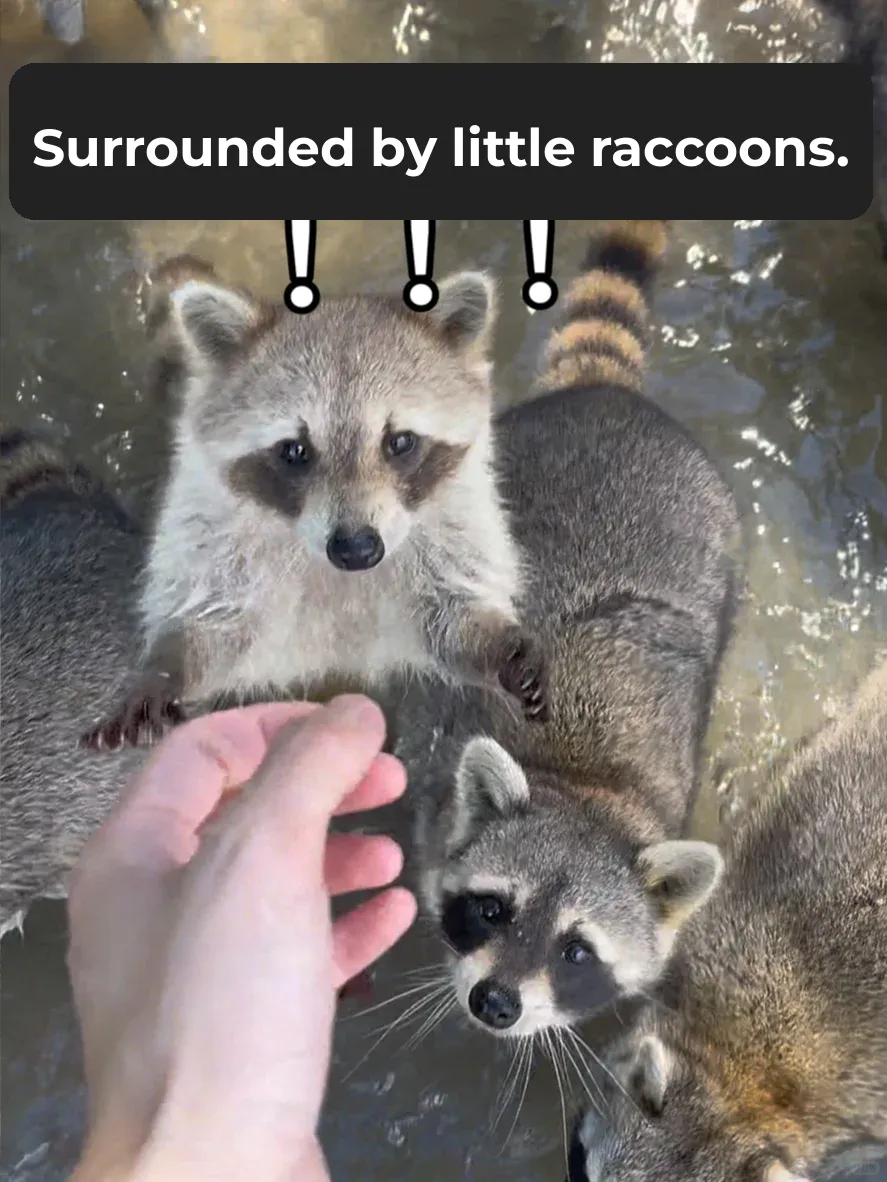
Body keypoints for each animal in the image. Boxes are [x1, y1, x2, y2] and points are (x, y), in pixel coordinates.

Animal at [81, 257, 547, 751]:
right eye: (294, 450)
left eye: (400, 442)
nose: (357, 548)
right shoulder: (211, 526)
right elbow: (217, 619)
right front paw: (172, 663)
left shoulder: (453, 520)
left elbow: (451, 614)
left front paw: (496, 644)